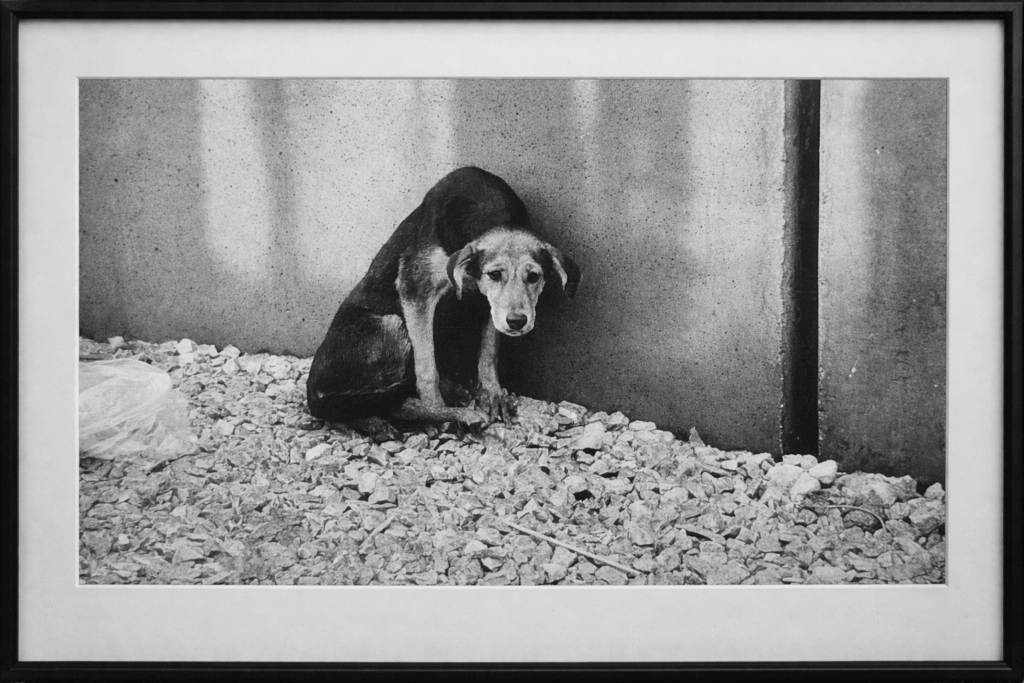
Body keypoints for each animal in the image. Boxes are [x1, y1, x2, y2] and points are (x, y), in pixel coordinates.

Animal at [306, 166, 580, 440]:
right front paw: (436, 410)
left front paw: (492, 394)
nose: (516, 322)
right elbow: (427, 369)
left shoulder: (490, 306)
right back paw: (442, 415)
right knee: (370, 403)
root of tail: (311, 388)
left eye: (534, 276)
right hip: (390, 325)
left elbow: (488, 352)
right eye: (494, 274)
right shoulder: (417, 291)